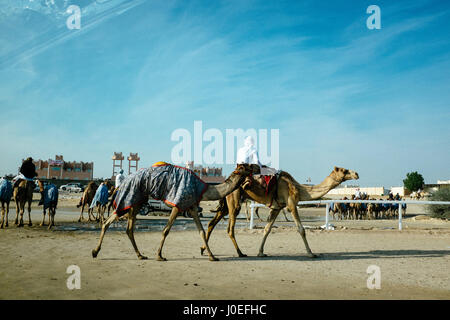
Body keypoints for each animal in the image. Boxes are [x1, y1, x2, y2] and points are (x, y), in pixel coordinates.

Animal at [91, 162, 256, 262]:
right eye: (247, 166)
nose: (256, 167)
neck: (203, 189)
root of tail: (122, 183)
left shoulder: (192, 207)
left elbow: (202, 231)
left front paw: (212, 256)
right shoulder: (178, 204)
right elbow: (166, 230)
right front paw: (159, 255)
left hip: (137, 201)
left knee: (128, 228)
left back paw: (139, 255)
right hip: (130, 197)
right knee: (113, 222)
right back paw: (96, 251)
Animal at [200, 166, 358, 258]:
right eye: (344, 170)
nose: (356, 173)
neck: (299, 188)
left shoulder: (277, 207)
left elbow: (267, 229)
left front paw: (261, 252)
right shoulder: (291, 204)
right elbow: (301, 229)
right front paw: (311, 253)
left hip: (227, 203)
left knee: (212, 223)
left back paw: (203, 249)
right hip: (234, 199)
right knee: (229, 229)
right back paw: (240, 253)